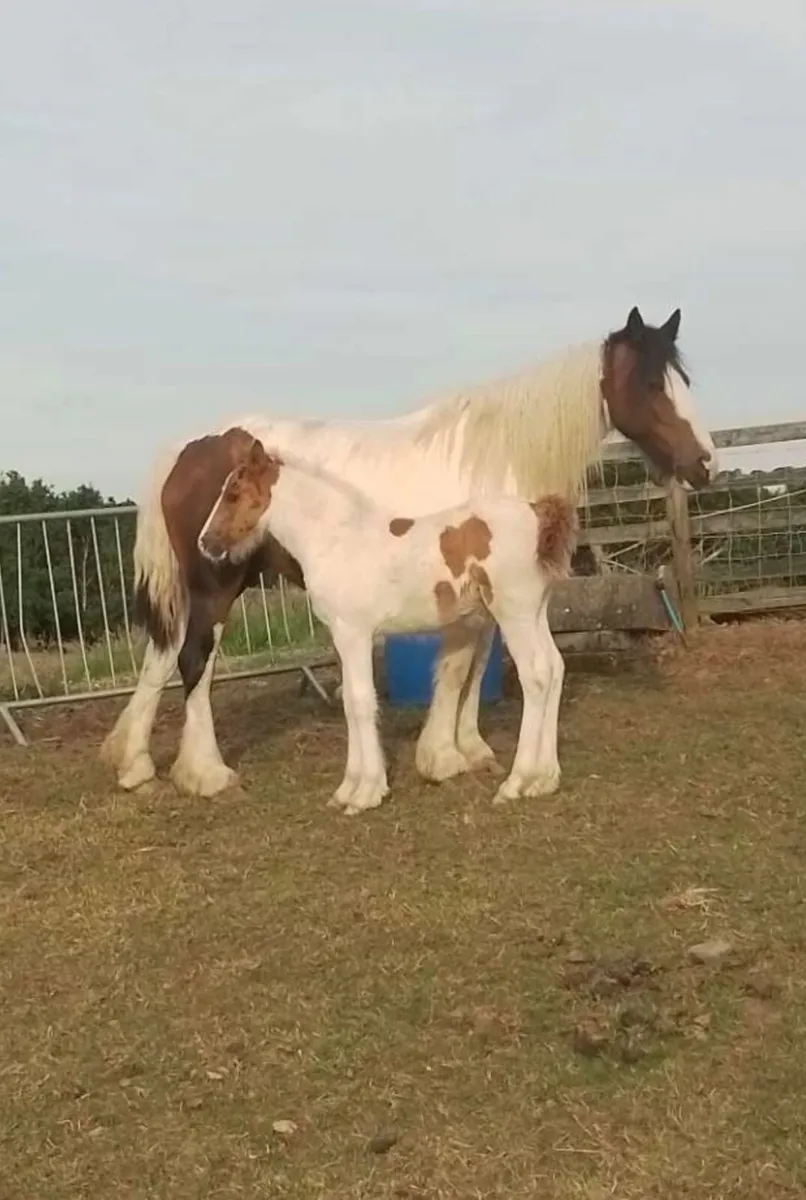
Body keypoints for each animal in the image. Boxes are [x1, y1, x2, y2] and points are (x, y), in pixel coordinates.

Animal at [197, 439, 578, 814]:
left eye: (233, 492)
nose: (205, 542)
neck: (335, 540)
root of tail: (538, 513)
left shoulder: (354, 634)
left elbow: (361, 702)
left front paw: (366, 792)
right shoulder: (341, 637)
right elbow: (350, 703)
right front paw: (348, 789)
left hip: (514, 614)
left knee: (536, 676)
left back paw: (517, 782)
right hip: (536, 612)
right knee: (555, 668)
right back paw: (545, 779)